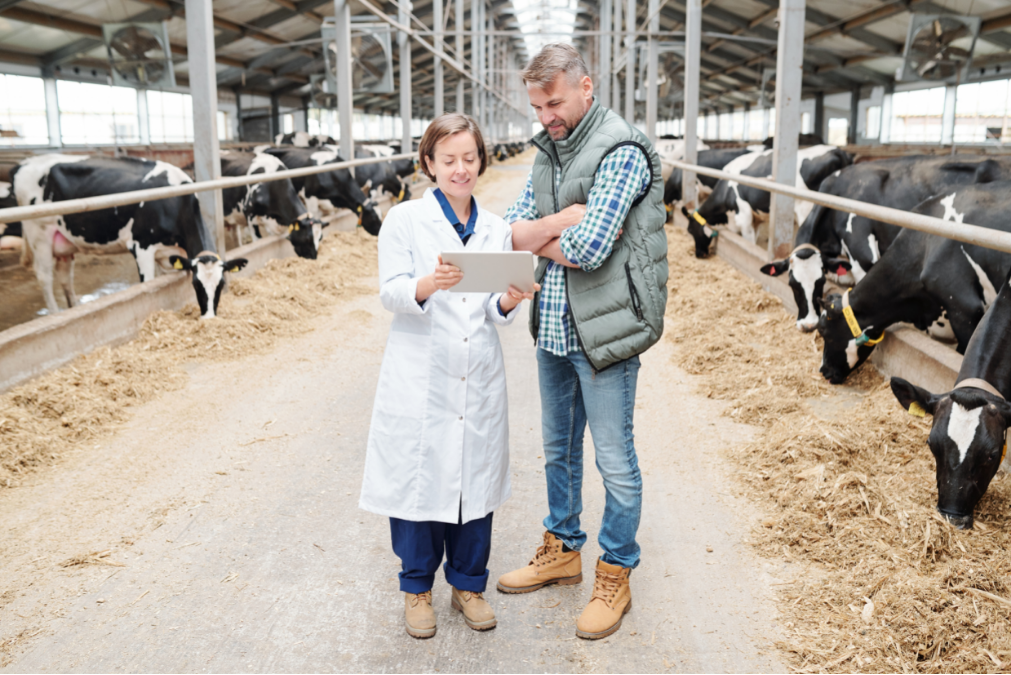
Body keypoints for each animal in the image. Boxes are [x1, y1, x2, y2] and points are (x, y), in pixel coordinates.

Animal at [13, 155, 244, 319]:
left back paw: (74, 307)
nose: (209, 317)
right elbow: (148, 284)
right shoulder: (141, 247)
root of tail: (24, 163)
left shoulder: (165, 253)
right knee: (44, 276)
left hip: (64, 241)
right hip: (39, 234)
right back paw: (54, 313)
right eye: (196, 285)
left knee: (65, 276)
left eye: (221, 285)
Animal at [687, 146, 853, 254]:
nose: (699, 254)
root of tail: (837, 150)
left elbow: (749, 242)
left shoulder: (743, 216)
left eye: (691, 230)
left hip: (806, 210)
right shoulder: (755, 219)